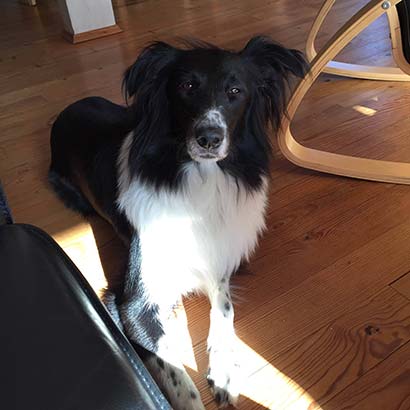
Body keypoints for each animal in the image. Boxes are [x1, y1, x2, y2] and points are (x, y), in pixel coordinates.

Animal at [49, 36, 308, 409]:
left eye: (235, 91)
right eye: (186, 86)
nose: (209, 138)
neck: (201, 178)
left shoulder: (218, 260)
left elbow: (225, 308)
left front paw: (225, 368)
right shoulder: (133, 305)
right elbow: (177, 375)